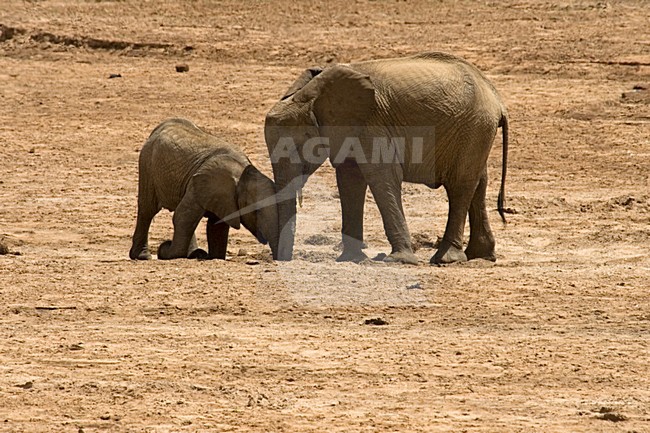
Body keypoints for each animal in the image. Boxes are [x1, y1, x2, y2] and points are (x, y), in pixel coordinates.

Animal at [129, 118, 279, 260]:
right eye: (256, 210)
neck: (243, 173)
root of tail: (160, 127)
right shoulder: (200, 185)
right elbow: (182, 217)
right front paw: (167, 251)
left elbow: (217, 227)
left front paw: (212, 256)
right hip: (147, 164)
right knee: (148, 209)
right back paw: (143, 256)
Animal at [264, 52, 508, 265]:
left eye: (299, 145)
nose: (280, 260)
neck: (313, 96)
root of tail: (497, 100)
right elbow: (349, 179)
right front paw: (351, 259)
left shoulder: (372, 123)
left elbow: (382, 176)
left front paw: (399, 260)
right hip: (477, 131)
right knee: (479, 182)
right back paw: (481, 256)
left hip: (474, 127)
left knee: (459, 186)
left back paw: (446, 259)